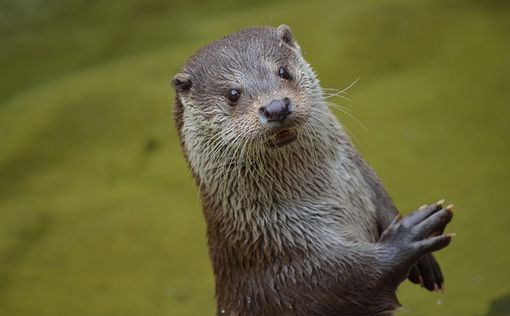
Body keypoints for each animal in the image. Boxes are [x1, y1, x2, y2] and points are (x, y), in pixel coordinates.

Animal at [171, 25, 454, 316]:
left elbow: (383, 199)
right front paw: (409, 237)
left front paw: (425, 262)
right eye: (232, 94)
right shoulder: (287, 272)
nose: (275, 107)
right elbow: (349, 280)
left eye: (283, 71)